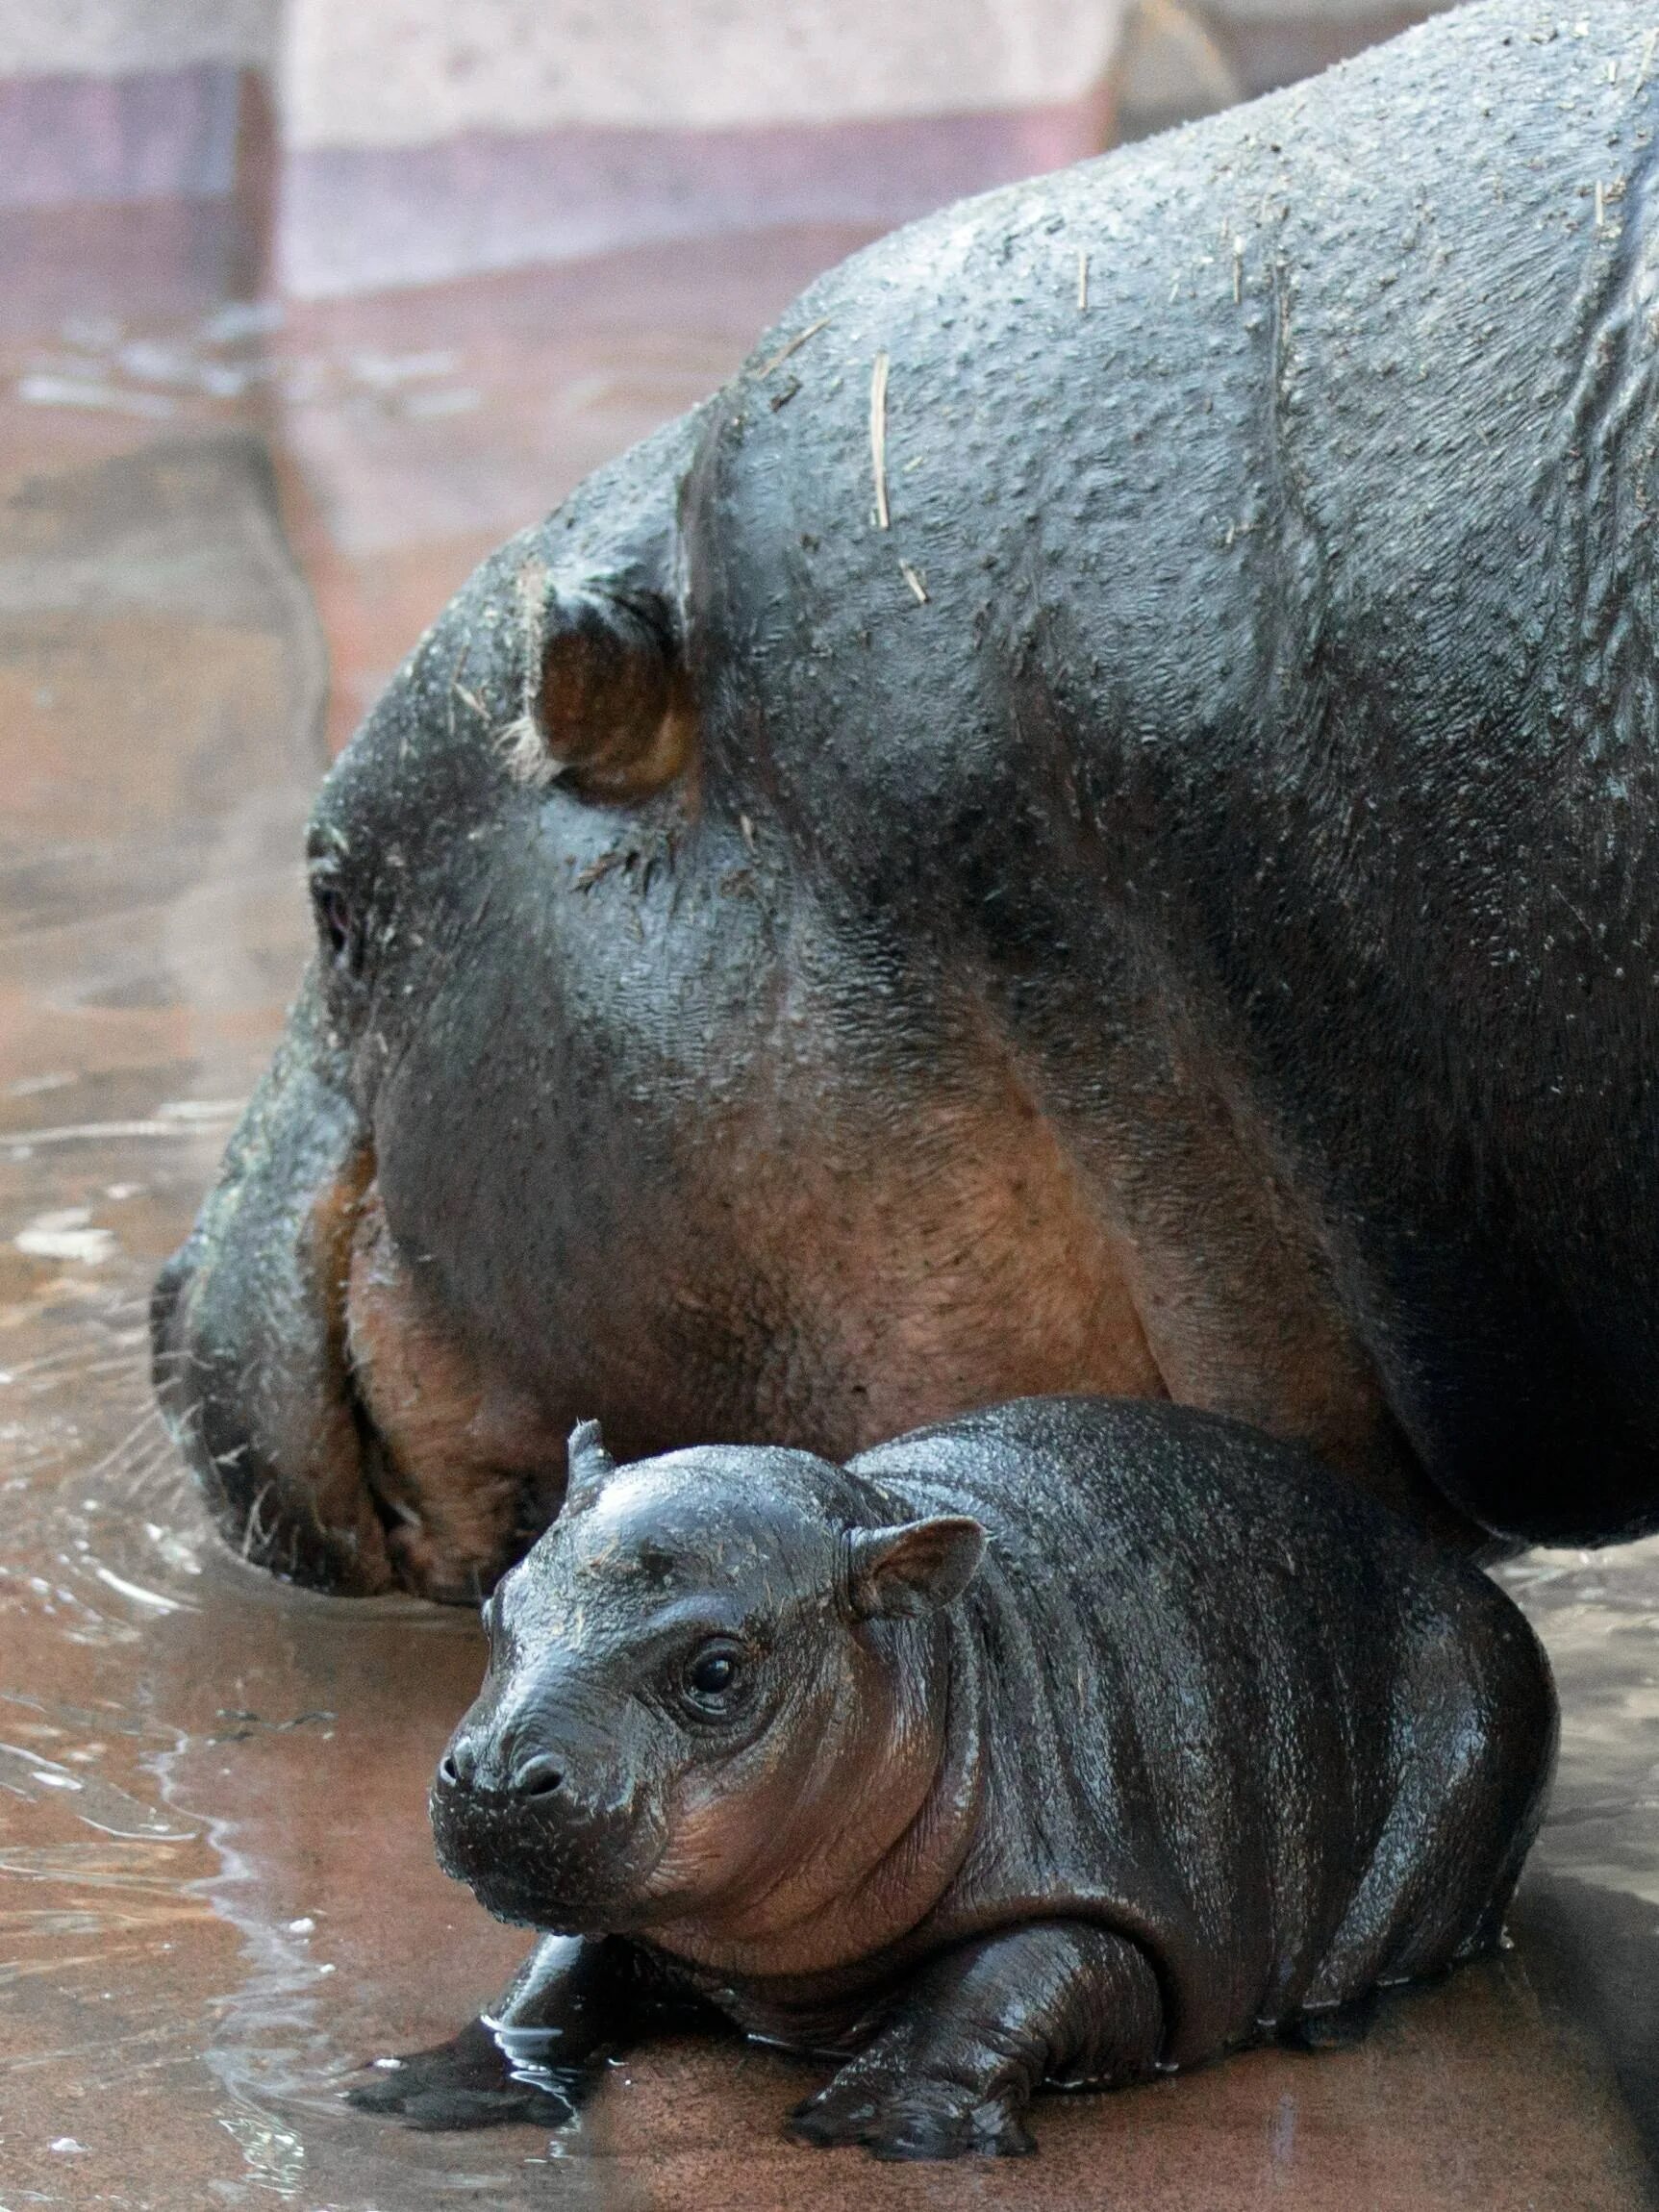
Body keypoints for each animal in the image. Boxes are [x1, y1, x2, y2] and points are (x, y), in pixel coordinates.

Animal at [351, 1397, 1557, 2158]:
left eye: (717, 1669)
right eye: (500, 1603)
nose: (496, 1774)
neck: (950, 1659)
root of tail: (1467, 1578)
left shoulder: (1116, 1888)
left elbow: (1014, 1973)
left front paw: (877, 2125)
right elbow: (556, 1966)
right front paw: (424, 2087)